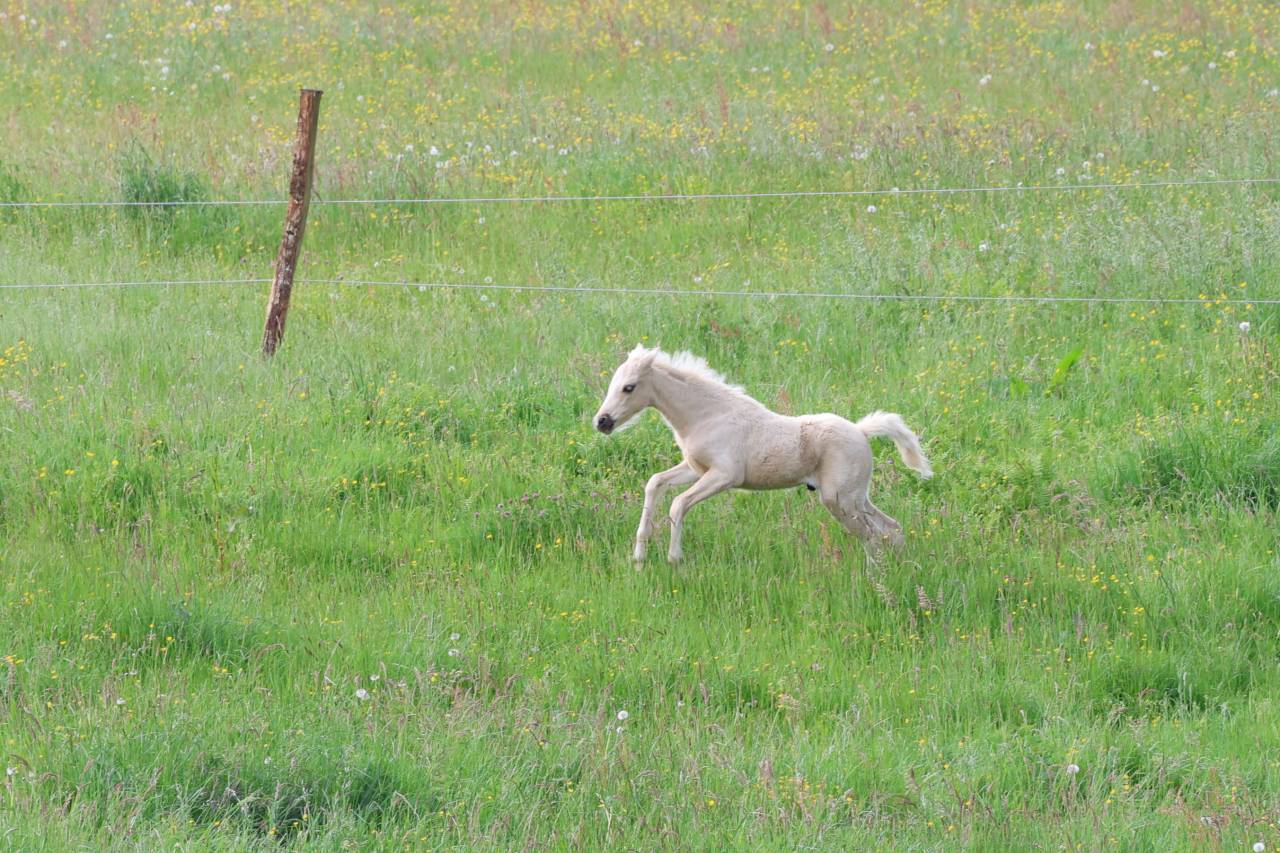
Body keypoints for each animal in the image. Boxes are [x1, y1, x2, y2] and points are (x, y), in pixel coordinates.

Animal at [593, 345, 932, 563]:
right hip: (856, 497)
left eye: (629, 387)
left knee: (873, 536)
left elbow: (678, 504)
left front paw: (674, 560)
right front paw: (639, 556)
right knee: (891, 530)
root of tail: (861, 431)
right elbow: (655, 483)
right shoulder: (696, 469)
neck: (707, 416)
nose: (602, 421)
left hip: (839, 500)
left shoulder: (724, 476)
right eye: (612, 384)